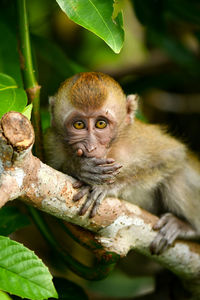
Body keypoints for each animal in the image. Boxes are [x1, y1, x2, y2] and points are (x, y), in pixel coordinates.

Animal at [45, 71, 200, 254]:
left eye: (101, 123)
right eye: (79, 125)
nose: (90, 147)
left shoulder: (138, 139)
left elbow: (172, 156)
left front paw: (110, 186)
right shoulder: (52, 143)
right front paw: (80, 168)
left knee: (179, 171)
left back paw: (187, 227)